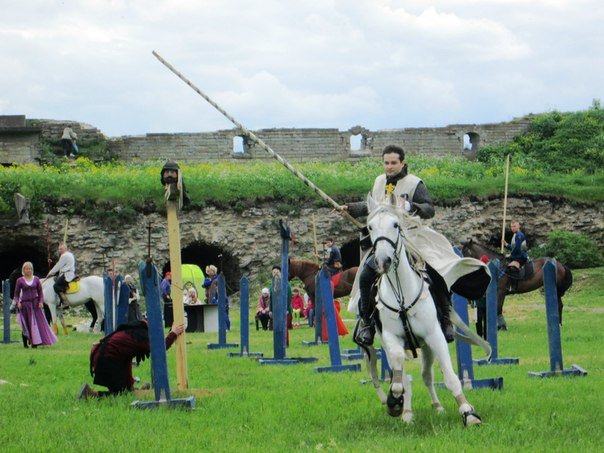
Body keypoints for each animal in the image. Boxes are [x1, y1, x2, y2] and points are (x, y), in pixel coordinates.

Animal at [358, 193, 482, 424]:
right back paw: (406, 412)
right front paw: (394, 401)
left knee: (427, 375)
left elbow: (450, 377)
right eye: (370, 226)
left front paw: (468, 412)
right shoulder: (390, 338)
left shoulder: (435, 336)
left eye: (396, 224)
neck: (402, 295)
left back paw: (437, 406)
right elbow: (400, 370)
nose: (383, 261)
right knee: (407, 374)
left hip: (427, 346)